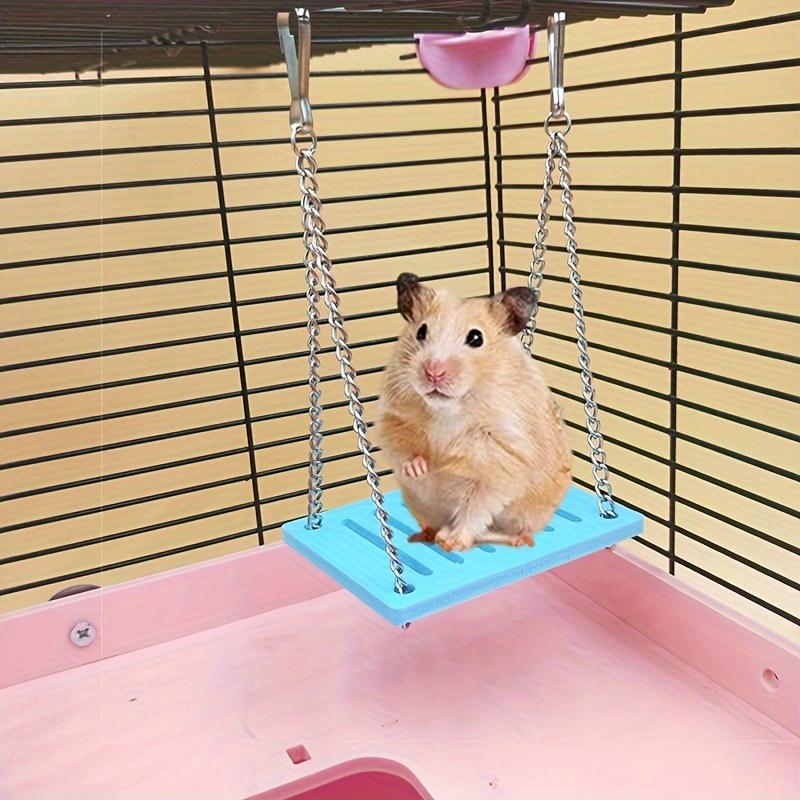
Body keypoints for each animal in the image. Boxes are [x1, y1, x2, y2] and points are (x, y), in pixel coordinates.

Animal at [376, 273, 572, 552]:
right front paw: (422, 468)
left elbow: (475, 506)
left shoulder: (503, 458)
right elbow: (403, 450)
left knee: (518, 534)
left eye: (476, 338)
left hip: (530, 515)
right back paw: (423, 536)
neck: (448, 409)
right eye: (421, 331)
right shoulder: (393, 419)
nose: (433, 372)